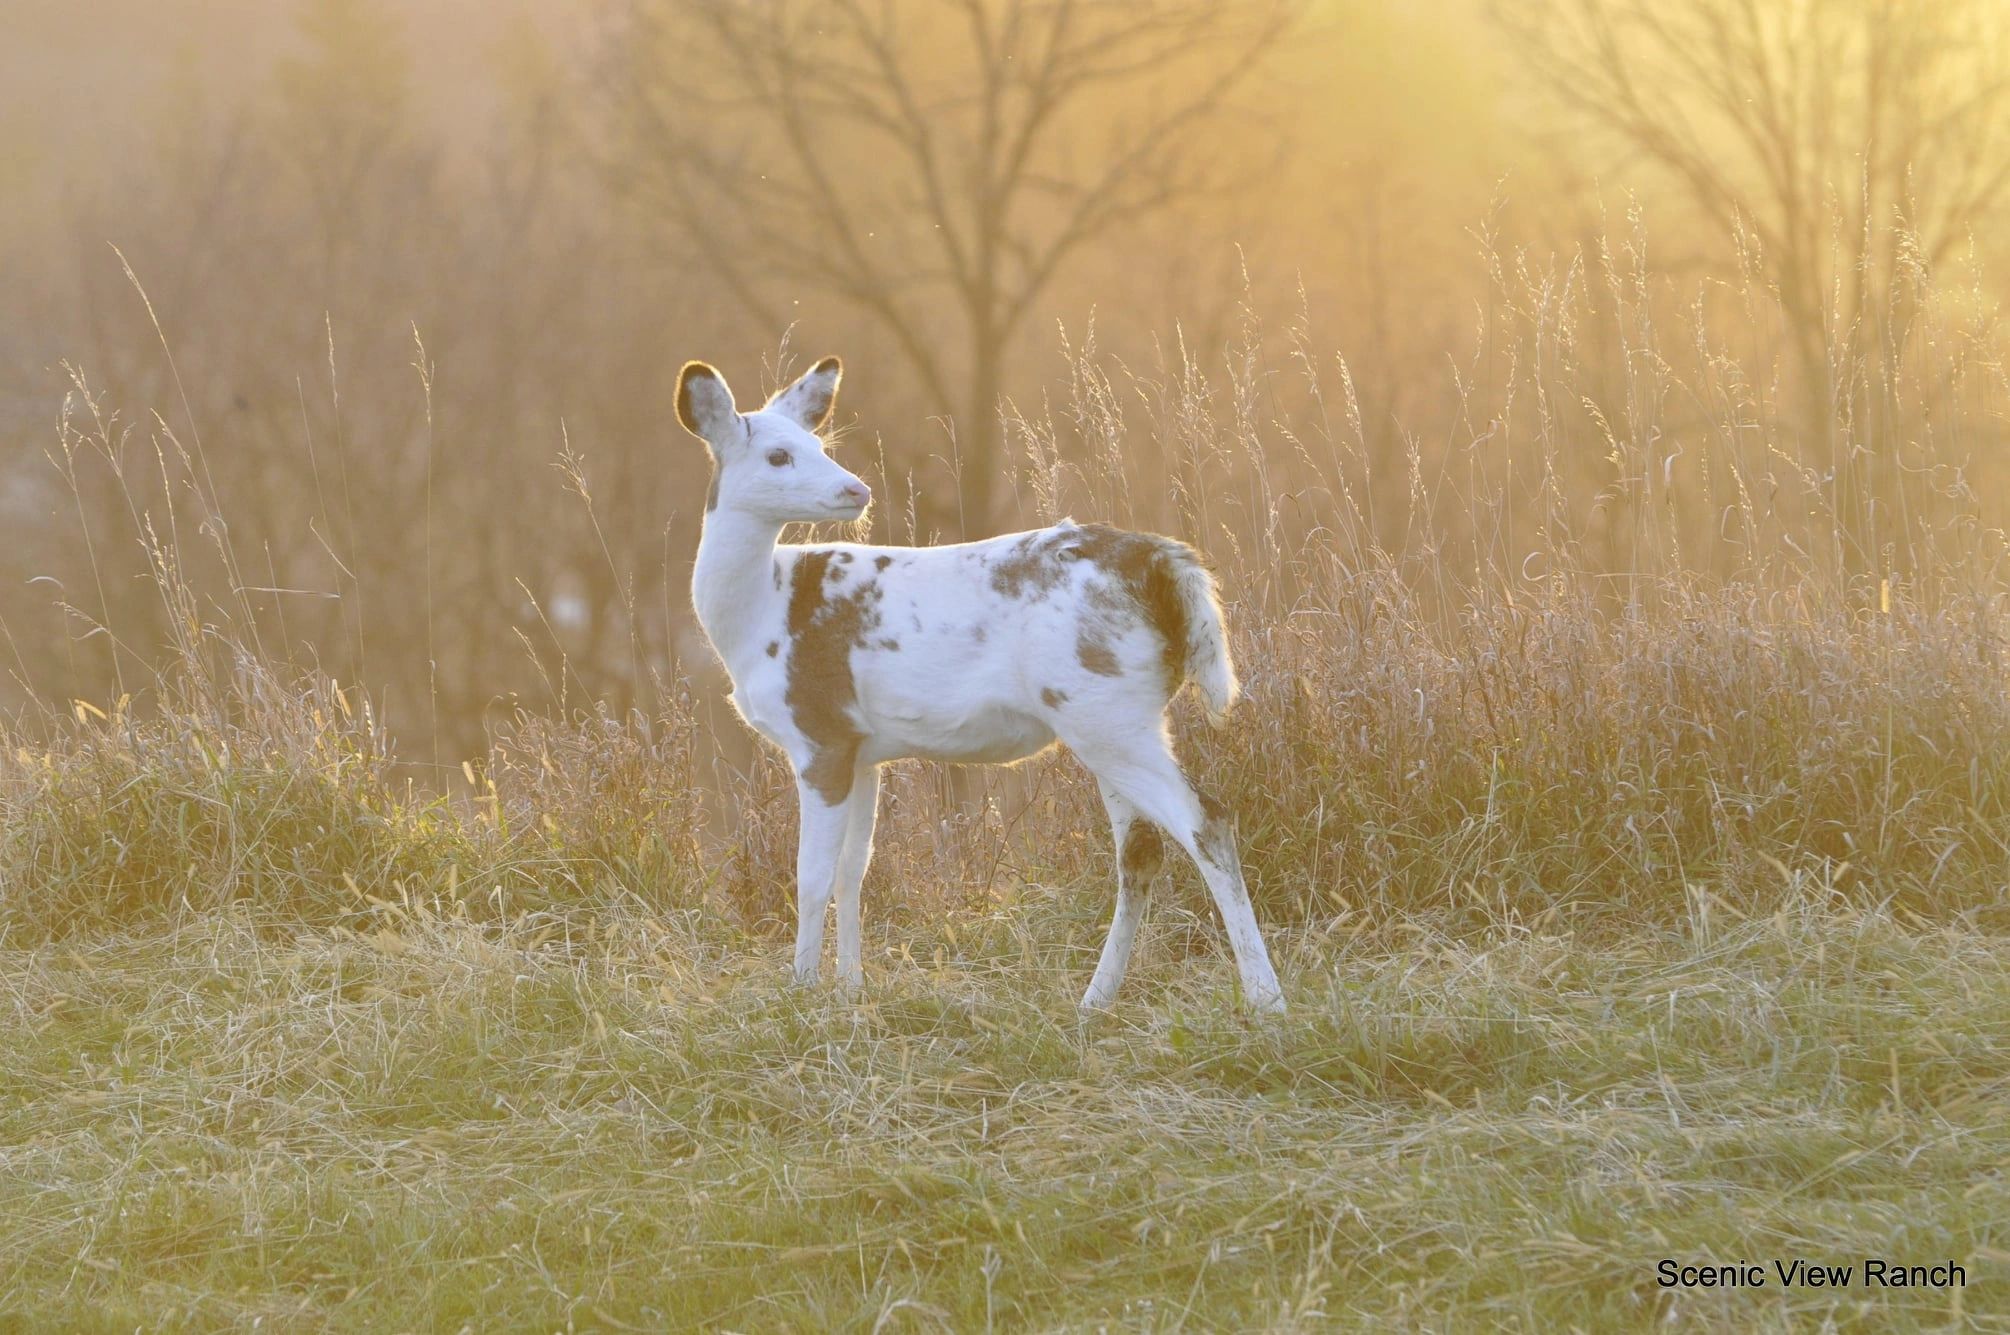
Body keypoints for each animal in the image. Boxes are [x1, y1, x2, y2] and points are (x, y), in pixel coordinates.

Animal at [677, 356, 1285, 1013]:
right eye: (779, 455)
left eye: (817, 445)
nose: (855, 490)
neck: (760, 615)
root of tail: (1166, 564)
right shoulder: (862, 751)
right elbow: (852, 871)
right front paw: (850, 988)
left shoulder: (819, 733)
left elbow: (811, 876)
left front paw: (803, 992)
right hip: (1115, 717)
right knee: (1140, 853)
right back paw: (1094, 1002)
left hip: (1103, 709)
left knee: (1207, 824)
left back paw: (1266, 1001)